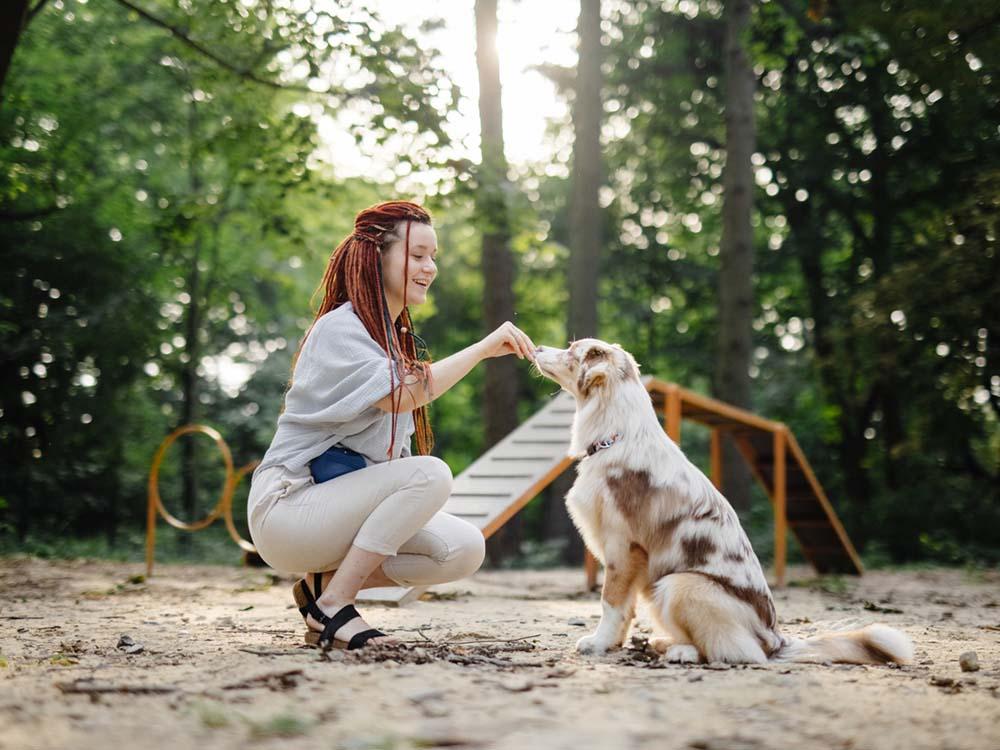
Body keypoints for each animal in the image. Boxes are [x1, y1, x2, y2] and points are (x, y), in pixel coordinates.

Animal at [536, 338, 912, 668]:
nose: (537, 347)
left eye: (572, 350)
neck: (615, 435)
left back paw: (682, 652)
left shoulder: (623, 548)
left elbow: (611, 603)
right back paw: (664, 642)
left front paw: (598, 644)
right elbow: (625, 610)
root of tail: (776, 639)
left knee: (736, 652)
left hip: (680, 584)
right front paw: (611, 644)